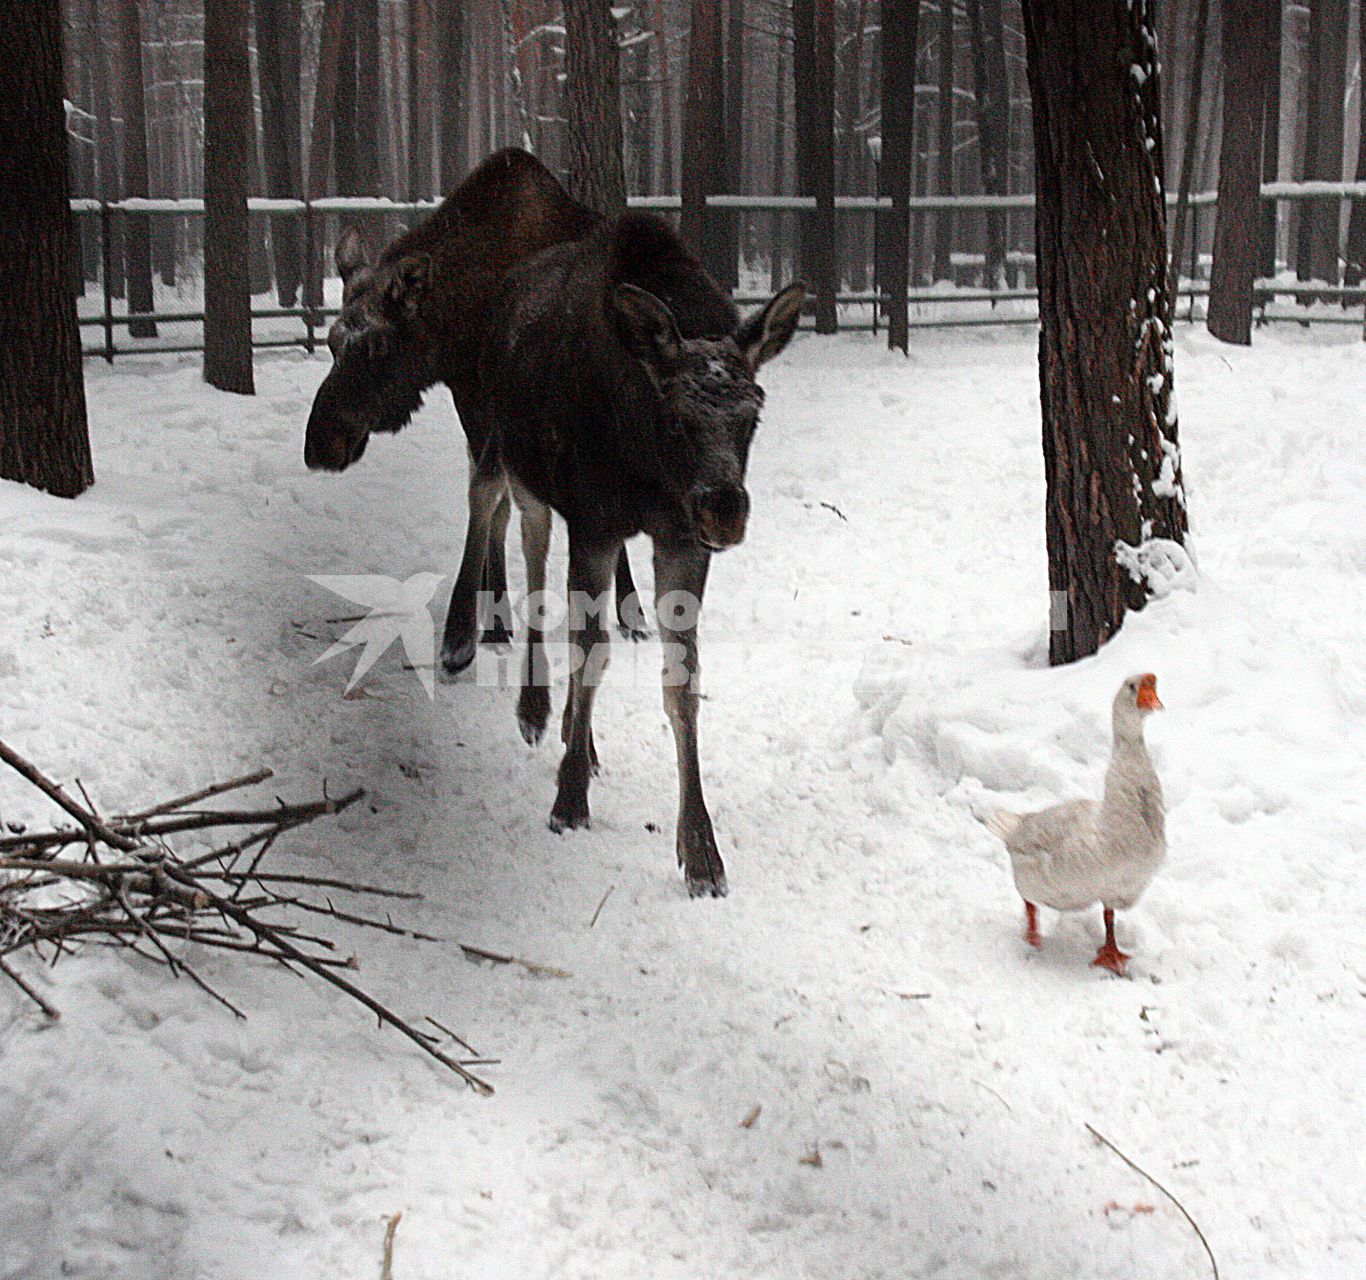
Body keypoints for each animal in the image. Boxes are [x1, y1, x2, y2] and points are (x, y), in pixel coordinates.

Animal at [308, 148, 644, 663]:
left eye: (380, 345)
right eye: (330, 341)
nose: (322, 443)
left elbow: (491, 495)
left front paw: (462, 629)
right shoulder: (471, 398)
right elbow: (492, 503)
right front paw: (493, 619)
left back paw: (632, 611)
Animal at [458, 210, 803, 896]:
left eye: (753, 414)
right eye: (674, 419)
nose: (724, 509)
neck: (649, 469)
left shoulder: (679, 538)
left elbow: (682, 682)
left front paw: (701, 851)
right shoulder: (595, 519)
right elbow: (592, 651)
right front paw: (568, 801)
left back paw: (574, 733)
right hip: (504, 447)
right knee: (502, 518)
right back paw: (507, 681)